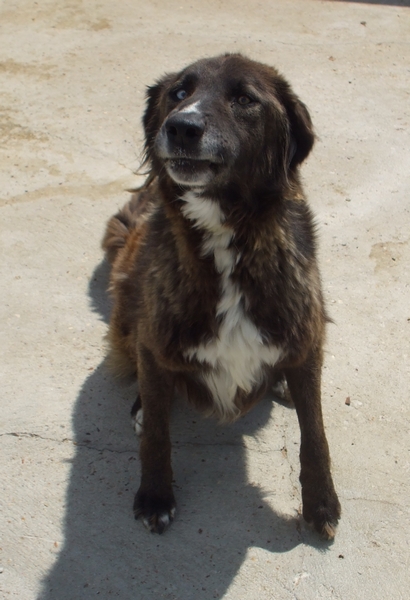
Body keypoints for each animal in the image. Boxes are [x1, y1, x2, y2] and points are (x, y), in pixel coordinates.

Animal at [101, 52, 340, 540]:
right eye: (179, 92)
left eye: (245, 99)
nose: (181, 127)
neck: (229, 240)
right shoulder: (155, 340)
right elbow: (157, 432)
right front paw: (155, 496)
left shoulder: (307, 336)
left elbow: (315, 434)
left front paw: (321, 504)